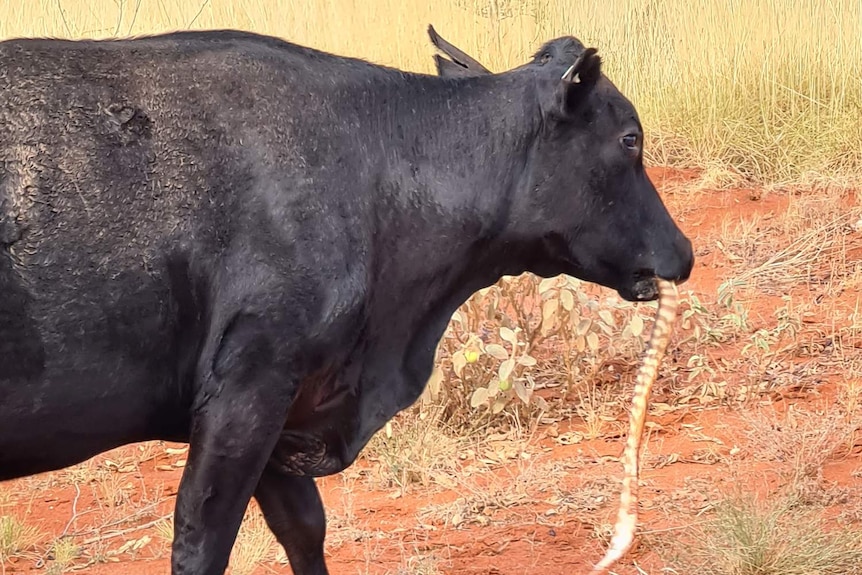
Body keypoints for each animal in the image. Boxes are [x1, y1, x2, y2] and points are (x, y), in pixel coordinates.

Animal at [0, 25, 692, 575]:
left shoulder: (284, 406)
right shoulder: (250, 384)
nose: (683, 252)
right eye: (630, 139)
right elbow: (201, 542)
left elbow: (305, 529)